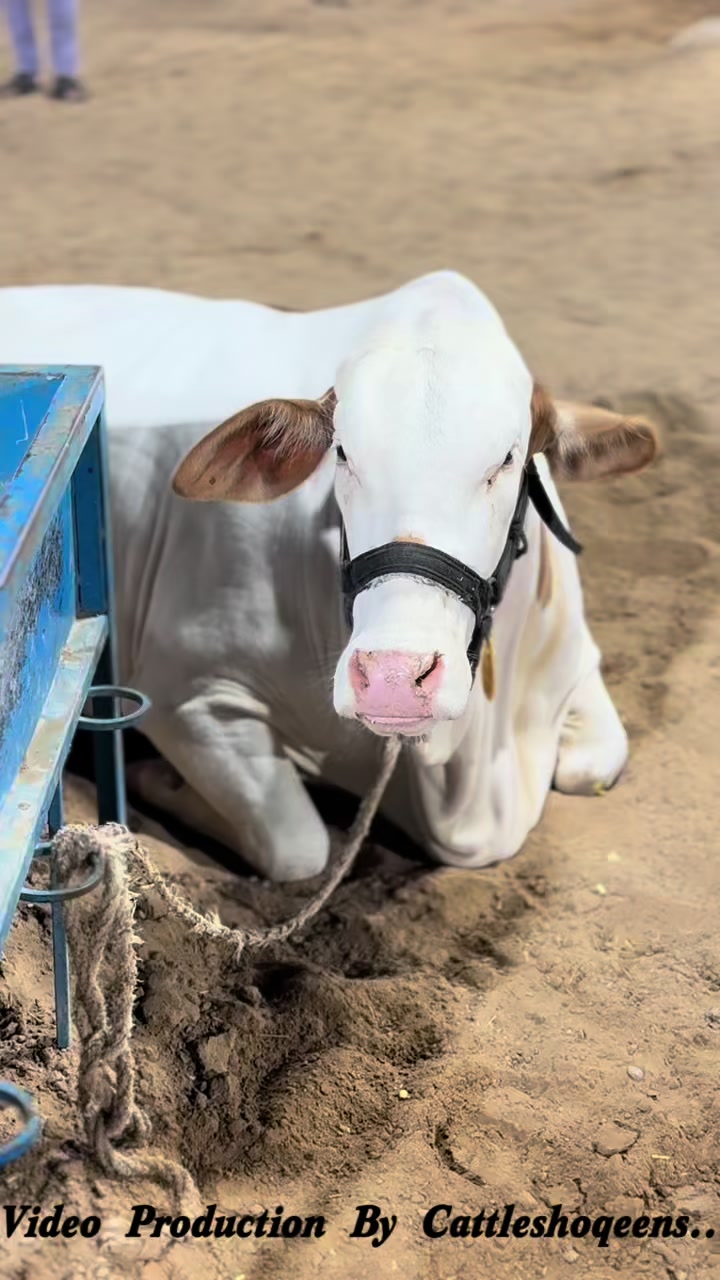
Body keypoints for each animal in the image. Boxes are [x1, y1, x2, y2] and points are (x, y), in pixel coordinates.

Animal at [0, 271, 659, 880]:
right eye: (342, 453)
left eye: (507, 459)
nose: (393, 677)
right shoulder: (190, 692)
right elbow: (299, 848)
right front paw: (158, 782)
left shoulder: (574, 661)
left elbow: (595, 763)